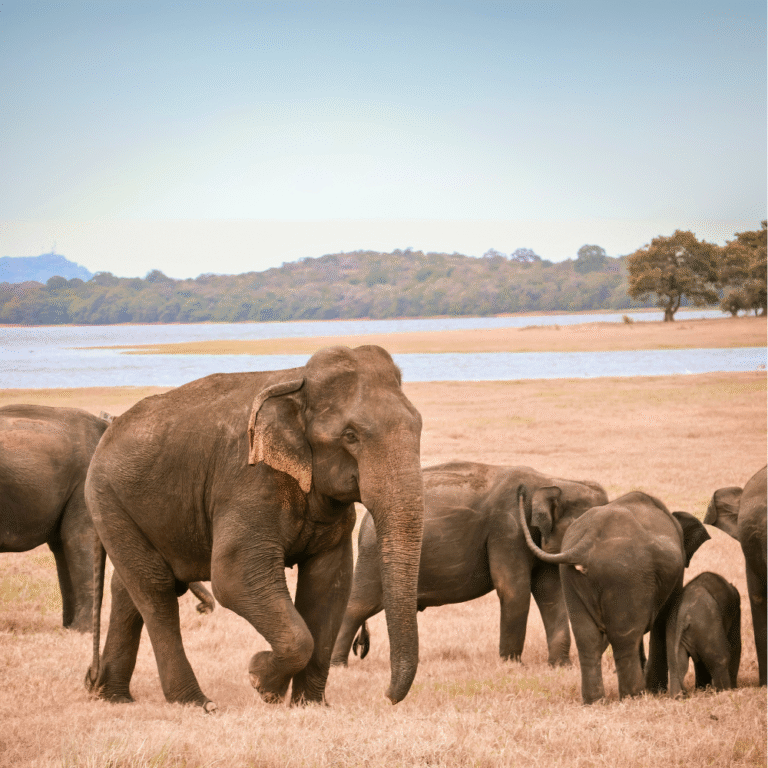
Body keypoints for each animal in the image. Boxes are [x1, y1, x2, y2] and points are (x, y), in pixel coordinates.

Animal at [84, 345, 425, 711]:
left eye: (419, 427)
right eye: (350, 436)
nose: (387, 696)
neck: (298, 382)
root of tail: (107, 430)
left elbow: (329, 583)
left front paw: (309, 705)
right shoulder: (248, 481)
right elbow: (234, 578)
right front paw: (262, 681)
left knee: (127, 588)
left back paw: (114, 697)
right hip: (107, 499)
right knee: (155, 589)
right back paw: (197, 703)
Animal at [331, 462, 607, 667]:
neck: (555, 480)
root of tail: (365, 521)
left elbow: (551, 593)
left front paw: (560, 666)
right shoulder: (507, 529)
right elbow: (513, 589)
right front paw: (511, 665)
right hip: (373, 556)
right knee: (358, 605)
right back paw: (337, 665)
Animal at [520, 489, 710, 703]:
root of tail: (588, 541)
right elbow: (664, 619)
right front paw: (656, 691)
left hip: (570, 576)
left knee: (587, 638)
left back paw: (595, 701)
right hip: (624, 575)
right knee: (624, 638)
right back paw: (634, 696)